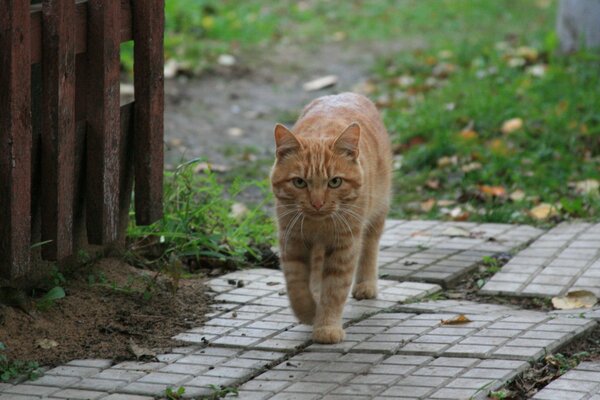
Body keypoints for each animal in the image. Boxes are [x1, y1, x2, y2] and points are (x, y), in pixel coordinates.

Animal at [270, 92, 392, 342]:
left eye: (335, 181)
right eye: (299, 182)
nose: (317, 203)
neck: (319, 225)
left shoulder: (344, 246)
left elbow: (334, 289)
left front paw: (326, 326)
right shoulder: (292, 241)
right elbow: (296, 285)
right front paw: (308, 311)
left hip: (377, 211)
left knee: (370, 247)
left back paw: (366, 284)